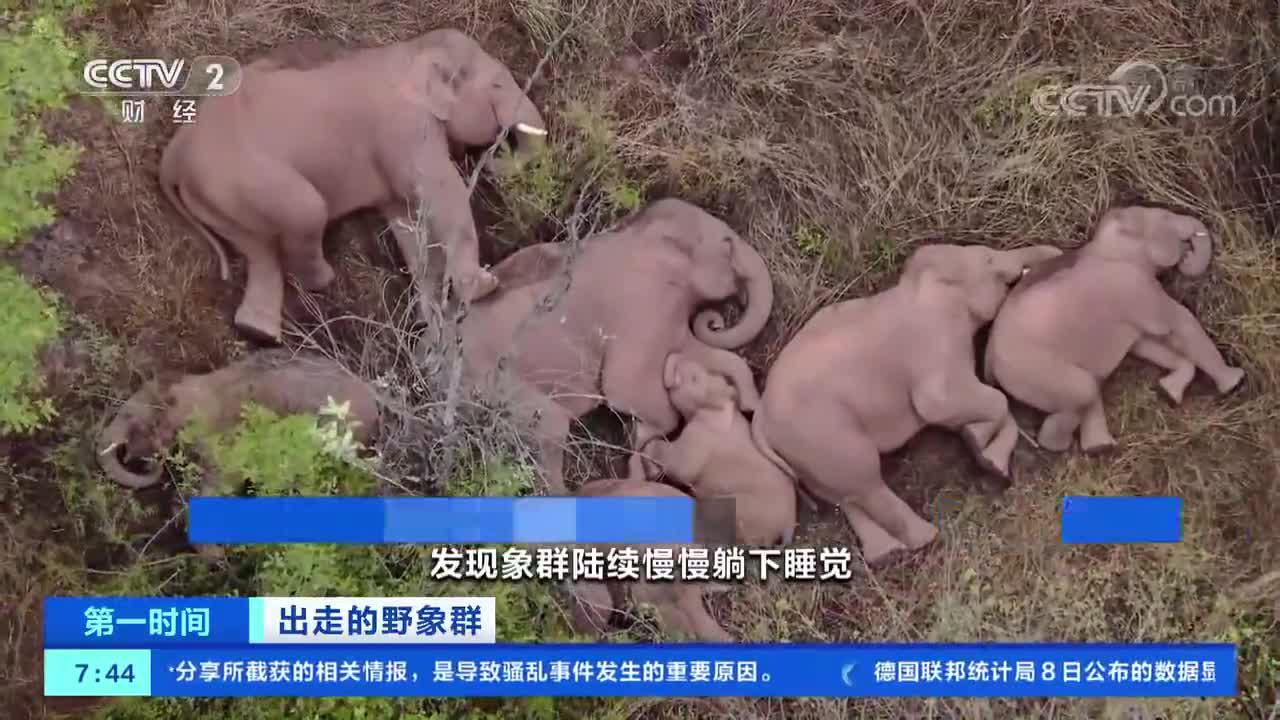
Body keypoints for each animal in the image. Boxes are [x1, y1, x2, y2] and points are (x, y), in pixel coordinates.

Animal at [158, 28, 549, 344]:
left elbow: (407, 220)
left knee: (258, 250)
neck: (412, 50)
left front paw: (433, 323)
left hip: (218, 197)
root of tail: (175, 152)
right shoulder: (406, 128)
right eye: (497, 86)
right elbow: (441, 193)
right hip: (246, 178)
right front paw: (484, 287)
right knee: (306, 212)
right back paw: (323, 281)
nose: (493, 163)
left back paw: (259, 334)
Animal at [459, 198, 774, 494]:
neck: (637, 232)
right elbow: (627, 390)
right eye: (728, 246)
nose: (716, 321)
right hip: (500, 387)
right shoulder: (641, 305)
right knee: (549, 434)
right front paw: (643, 450)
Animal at [637, 352, 796, 546]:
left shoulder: (698, 439)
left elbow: (680, 466)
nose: (676, 355)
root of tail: (789, 522)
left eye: (694, 378)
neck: (716, 408)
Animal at [749, 242, 1063, 565]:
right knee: (866, 481)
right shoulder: (935, 342)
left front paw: (985, 453)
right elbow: (944, 403)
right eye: (988, 258)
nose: (1057, 253)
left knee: (845, 495)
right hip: (822, 434)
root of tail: (760, 420)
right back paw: (927, 538)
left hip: (806, 452)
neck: (921, 284)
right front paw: (981, 446)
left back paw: (887, 553)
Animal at [984, 205, 1245, 453]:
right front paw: (1234, 382)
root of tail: (988, 362)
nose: (1189, 249)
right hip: (1034, 370)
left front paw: (1168, 391)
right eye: (1165, 217)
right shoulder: (1135, 287)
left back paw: (1099, 448)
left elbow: (1145, 344)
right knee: (1084, 390)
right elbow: (1179, 322)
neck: (1107, 241)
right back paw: (1064, 446)